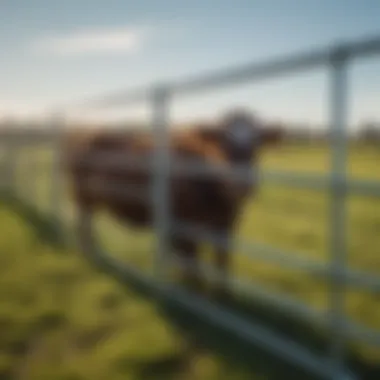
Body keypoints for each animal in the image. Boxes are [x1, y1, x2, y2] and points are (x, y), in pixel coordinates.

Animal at [64, 108, 282, 298]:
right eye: (221, 140)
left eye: (258, 142)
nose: (242, 183)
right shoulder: (184, 226)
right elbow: (191, 263)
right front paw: (193, 291)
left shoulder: (225, 226)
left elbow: (222, 262)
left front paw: (222, 295)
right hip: (82, 196)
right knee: (83, 223)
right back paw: (87, 252)